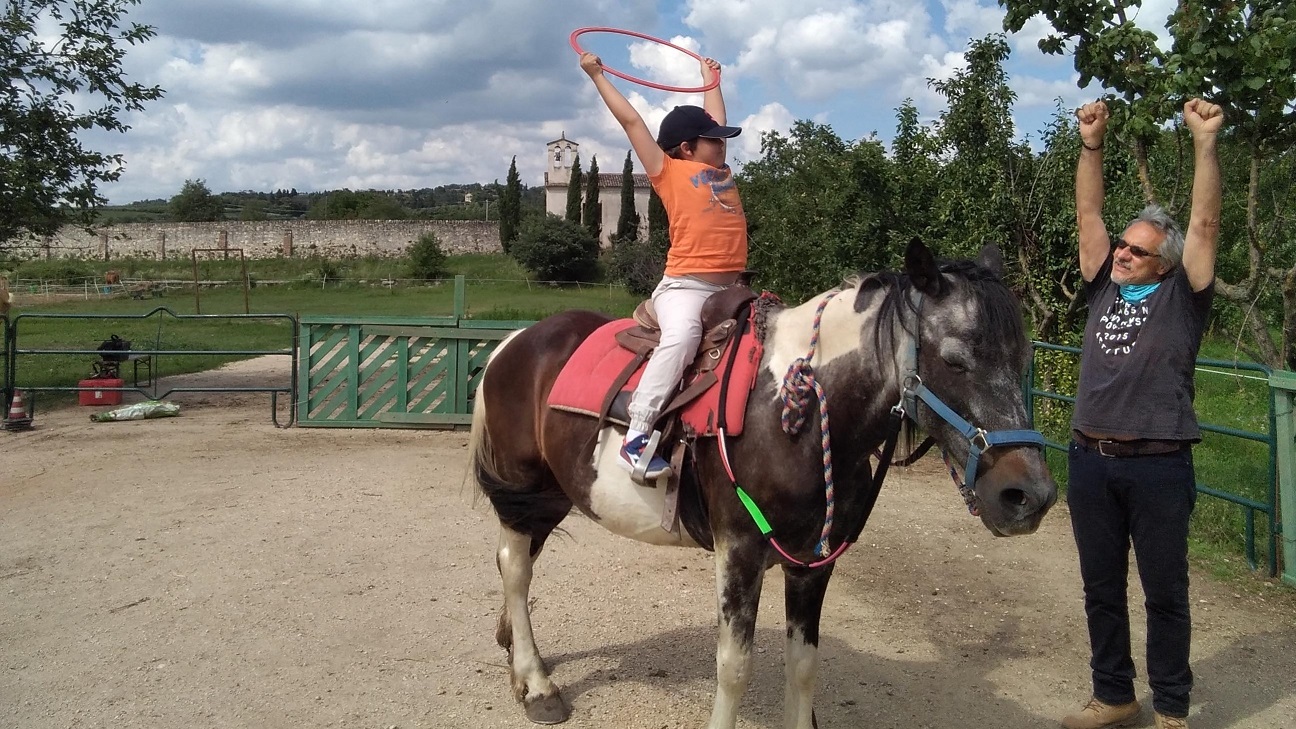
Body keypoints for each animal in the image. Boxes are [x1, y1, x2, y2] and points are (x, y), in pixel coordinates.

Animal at [468, 238, 1057, 728]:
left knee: (515, 563)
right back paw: (538, 686)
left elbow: (803, 665)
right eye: (956, 359)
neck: (796, 414)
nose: (1029, 496)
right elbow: (735, 667)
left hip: (548, 498)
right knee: (515, 567)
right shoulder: (740, 553)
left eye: (1024, 358)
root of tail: (512, 343)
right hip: (524, 491)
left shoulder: (813, 564)